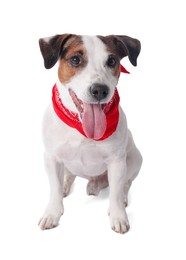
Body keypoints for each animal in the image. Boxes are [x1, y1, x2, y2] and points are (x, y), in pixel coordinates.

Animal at [37, 33, 142, 235]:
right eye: (75, 60)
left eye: (112, 61)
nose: (100, 90)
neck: (81, 128)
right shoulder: (51, 158)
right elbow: (54, 188)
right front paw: (52, 213)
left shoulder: (117, 162)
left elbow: (115, 193)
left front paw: (118, 216)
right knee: (68, 175)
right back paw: (66, 186)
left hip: (134, 159)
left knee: (126, 183)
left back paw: (122, 197)